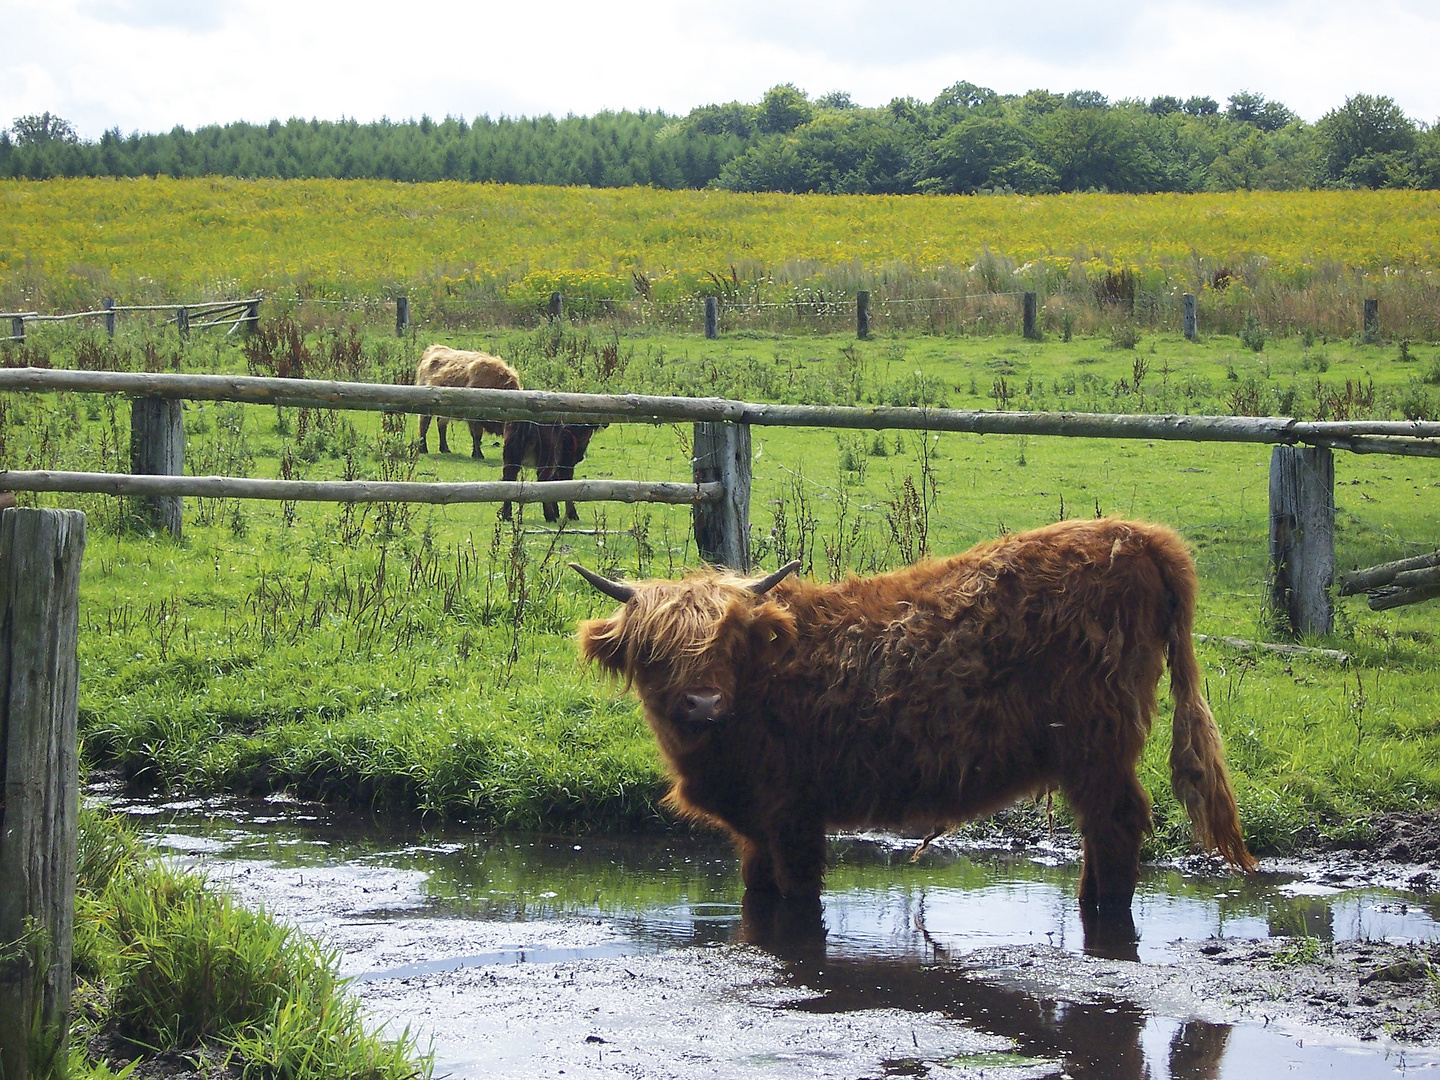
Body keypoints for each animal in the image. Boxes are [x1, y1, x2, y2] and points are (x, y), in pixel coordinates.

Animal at [573, 518, 1249, 915]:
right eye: (652, 650)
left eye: (730, 642)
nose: (703, 703)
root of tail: (1138, 534)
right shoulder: (757, 828)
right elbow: (756, 893)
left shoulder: (794, 817)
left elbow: (800, 902)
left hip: (1096, 742)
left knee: (1117, 824)